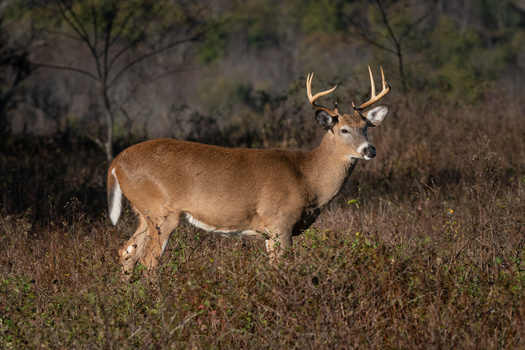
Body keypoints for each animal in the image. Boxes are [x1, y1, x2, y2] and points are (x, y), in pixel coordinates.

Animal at [106, 67, 388, 276]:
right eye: (344, 130)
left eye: (365, 127)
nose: (370, 149)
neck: (307, 177)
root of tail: (116, 163)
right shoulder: (279, 221)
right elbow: (282, 268)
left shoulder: (270, 231)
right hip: (161, 211)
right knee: (148, 262)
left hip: (144, 212)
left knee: (126, 252)